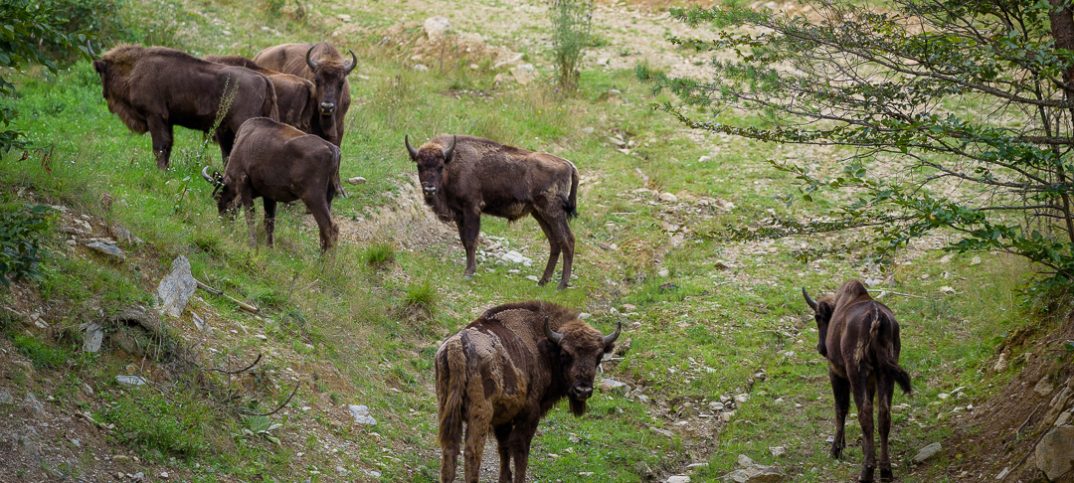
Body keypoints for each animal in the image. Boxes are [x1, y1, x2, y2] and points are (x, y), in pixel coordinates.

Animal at [92, 43, 279, 170]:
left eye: (102, 73)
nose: (104, 95)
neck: (135, 68)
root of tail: (264, 80)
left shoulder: (155, 116)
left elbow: (159, 145)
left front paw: (160, 171)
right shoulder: (167, 121)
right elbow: (168, 145)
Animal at [198, 116, 339, 251]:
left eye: (219, 197)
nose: (224, 225)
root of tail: (332, 149)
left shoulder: (244, 184)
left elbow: (250, 215)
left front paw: (253, 245)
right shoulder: (269, 196)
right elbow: (269, 222)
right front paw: (269, 248)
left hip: (313, 198)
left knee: (330, 229)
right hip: (326, 199)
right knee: (323, 231)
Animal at [403, 134, 579, 287]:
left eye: (440, 167)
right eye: (419, 166)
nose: (429, 189)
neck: (452, 162)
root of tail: (568, 165)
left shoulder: (472, 208)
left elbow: (471, 240)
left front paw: (469, 272)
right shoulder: (460, 214)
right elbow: (464, 241)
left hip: (553, 213)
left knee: (567, 240)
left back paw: (562, 285)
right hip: (540, 214)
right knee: (555, 242)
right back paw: (543, 281)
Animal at [433, 302, 622, 483]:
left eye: (598, 357)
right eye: (565, 354)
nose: (582, 390)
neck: (543, 344)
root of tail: (457, 348)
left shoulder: (504, 418)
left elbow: (504, 448)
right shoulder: (530, 414)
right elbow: (520, 450)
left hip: (447, 409)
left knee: (450, 449)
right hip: (480, 415)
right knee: (472, 452)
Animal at [803, 281, 910, 480]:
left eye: (818, 317)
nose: (821, 348)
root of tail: (876, 317)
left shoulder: (836, 372)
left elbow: (841, 408)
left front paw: (836, 449)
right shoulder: (871, 381)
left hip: (856, 370)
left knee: (865, 413)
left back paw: (867, 471)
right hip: (886, 373)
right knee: (884, 415)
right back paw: (885, 470)